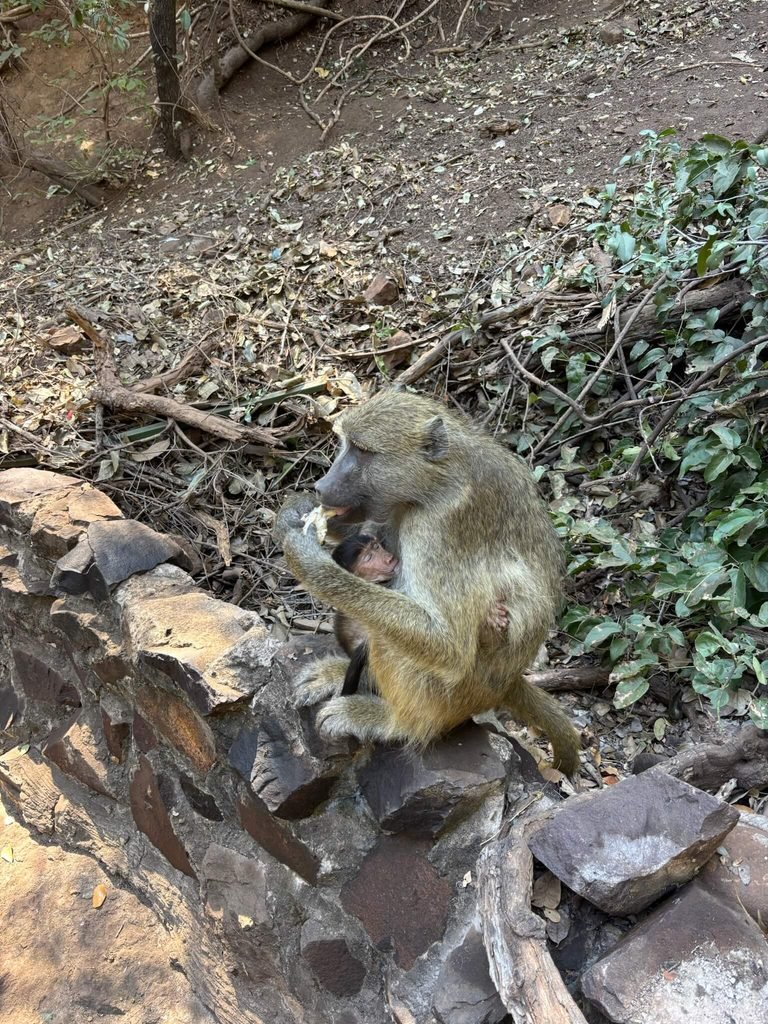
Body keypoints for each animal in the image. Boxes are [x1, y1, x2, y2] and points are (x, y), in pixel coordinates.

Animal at [273, 389, 581, 776]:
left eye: (363, 451)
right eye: (346, 445)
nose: (322, 486)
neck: (436, 481)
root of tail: (505, 685)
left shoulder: (441, 526)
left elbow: (449, 646)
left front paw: (308, 561)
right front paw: (294, 512)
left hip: (452, 697)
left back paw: (391, 720)